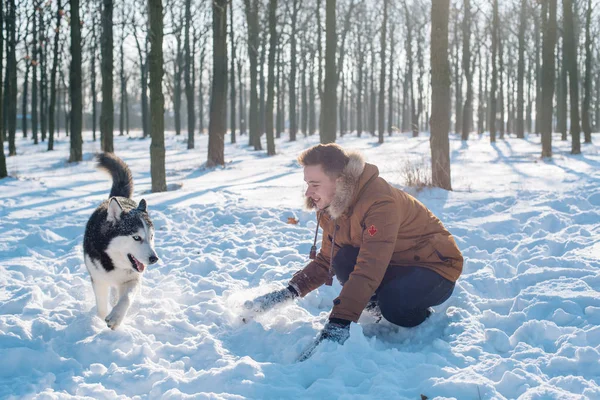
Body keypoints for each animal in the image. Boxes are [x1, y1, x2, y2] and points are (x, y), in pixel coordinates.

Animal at [85, 152, 159, 328]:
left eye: (151, 237)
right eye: (136, 237)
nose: (154, 259)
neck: (113, 261)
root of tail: (117, 197)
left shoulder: (132, 278)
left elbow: (126, 299)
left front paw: (116, 318)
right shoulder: (98, 280)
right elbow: (101, 308)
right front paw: (101, 320)